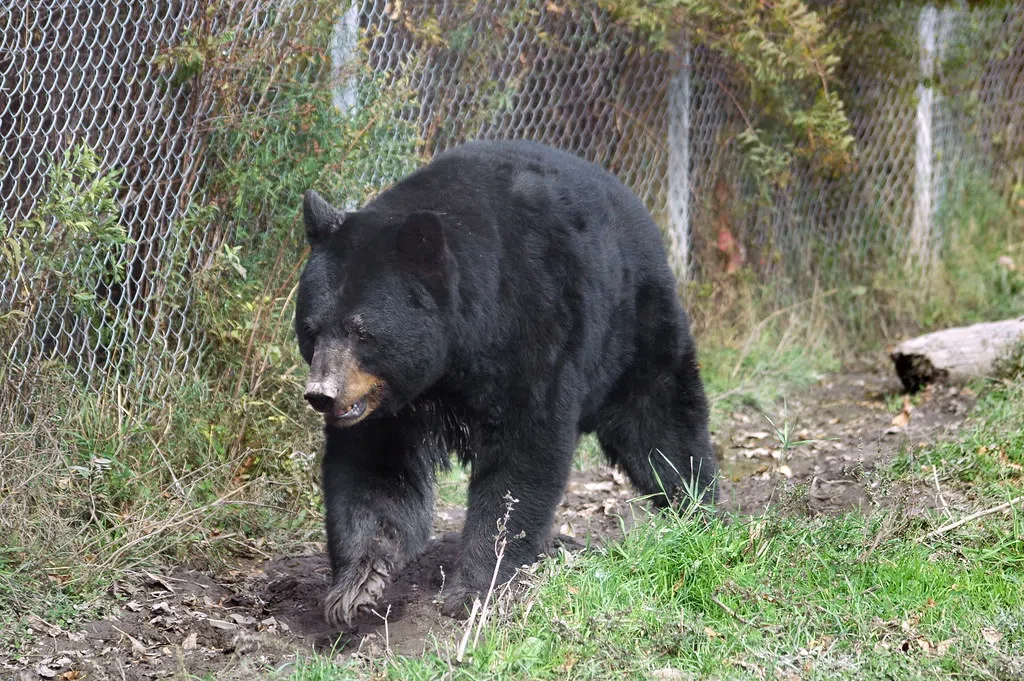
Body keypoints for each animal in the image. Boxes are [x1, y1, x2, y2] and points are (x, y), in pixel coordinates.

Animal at [292, 138, 716, 626]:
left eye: (362, 331)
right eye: (312, 329)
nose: (322, 395)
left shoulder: (535, 329)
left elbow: (522, 458)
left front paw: (476, 587)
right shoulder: (388, 403)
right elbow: (374, 470)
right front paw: (356, 586)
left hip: (633, 328)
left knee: (662, 424)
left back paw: (700, 510)